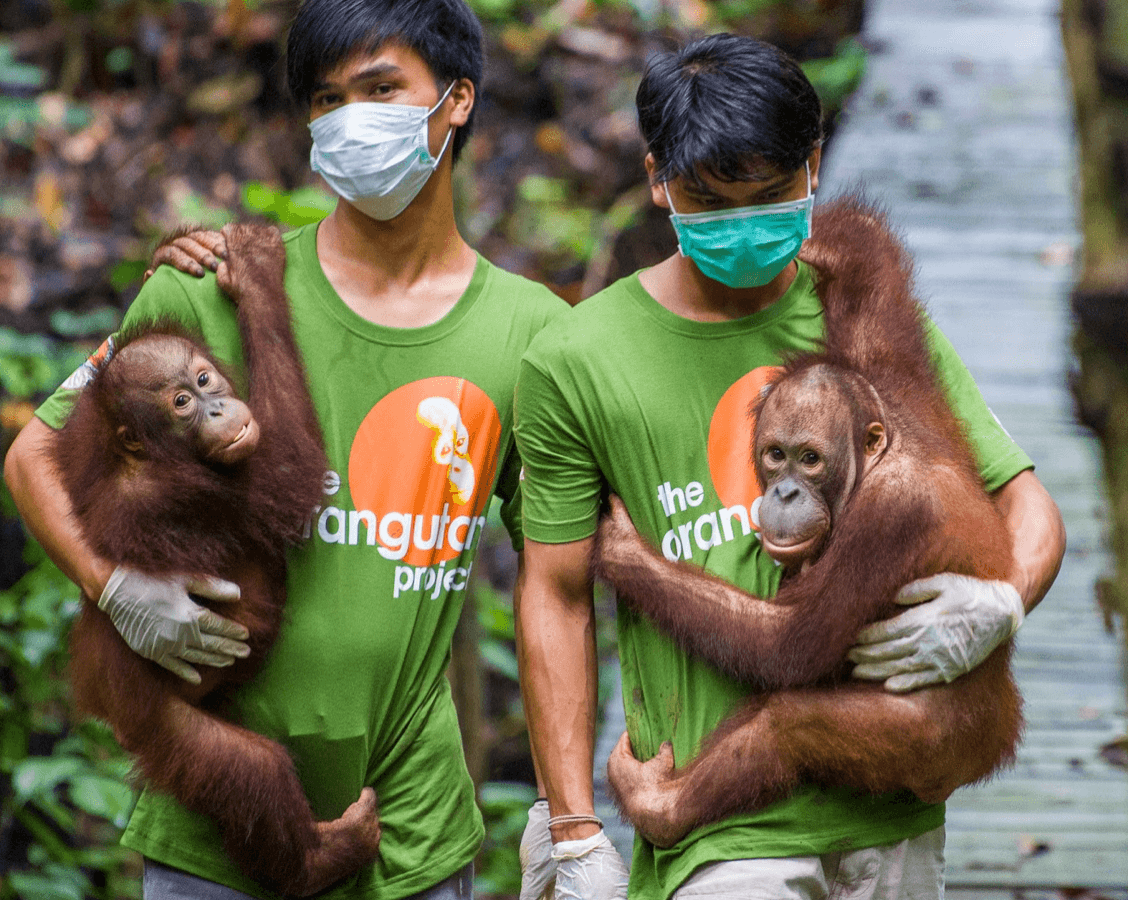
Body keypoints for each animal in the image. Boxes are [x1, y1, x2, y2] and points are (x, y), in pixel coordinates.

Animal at [52, 224, 382, 896]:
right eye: (180, 402)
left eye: (204, 380)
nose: (217, 410)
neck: (151, 457)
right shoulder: (194, 494)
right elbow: (289, 481)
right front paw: (255, 276)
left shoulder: (88, 446)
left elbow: (67, 444)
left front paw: (173, 254)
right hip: (160, 721)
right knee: (252, 769)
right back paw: (320, 859)